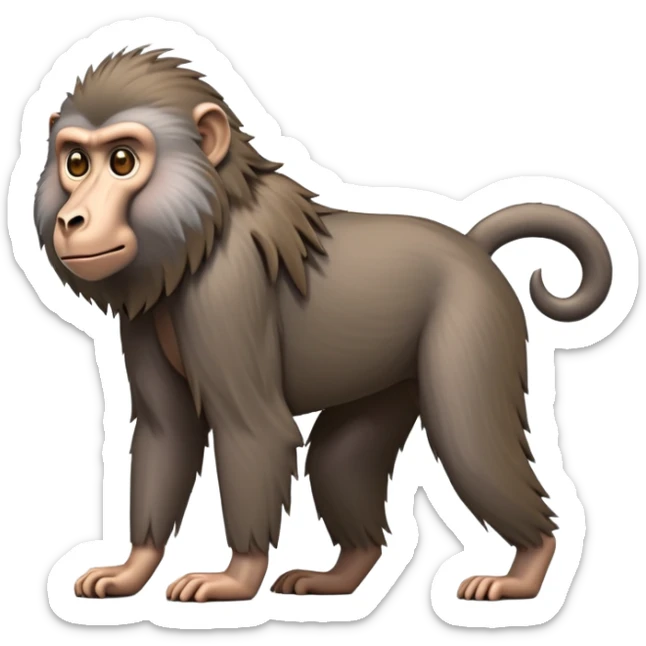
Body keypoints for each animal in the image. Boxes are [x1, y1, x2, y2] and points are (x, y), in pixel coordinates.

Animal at [33, 47, 613, 603]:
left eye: (123, 160)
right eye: (77, 162)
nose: (72, 219)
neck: (202, 230)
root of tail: (469, 247)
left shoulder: (225, 292)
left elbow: (253, 427)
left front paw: (236, 579)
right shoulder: (147, 311)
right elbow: (167, 431)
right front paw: (133, 568)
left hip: (473, 319)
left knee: (468, 437)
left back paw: (528, 568)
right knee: (343, 458)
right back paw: (343, 575)